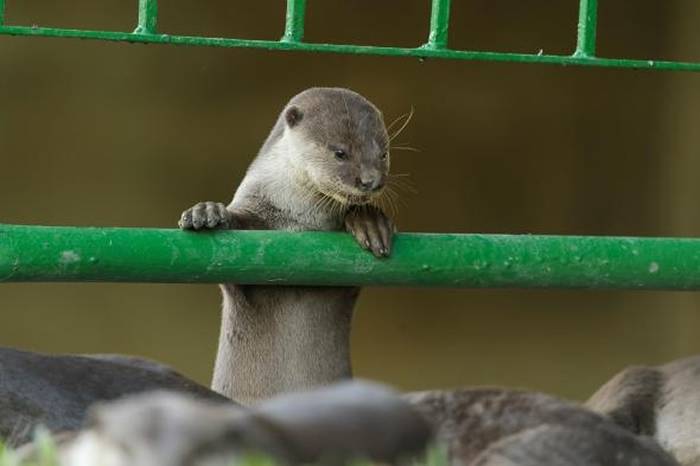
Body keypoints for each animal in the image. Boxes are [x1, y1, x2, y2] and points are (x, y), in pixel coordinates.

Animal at [178, 87, 396, 404]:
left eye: (383, 153)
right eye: (340, 152)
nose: (371, 181)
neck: (299, 216)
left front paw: (369, 220)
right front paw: (206, 212)